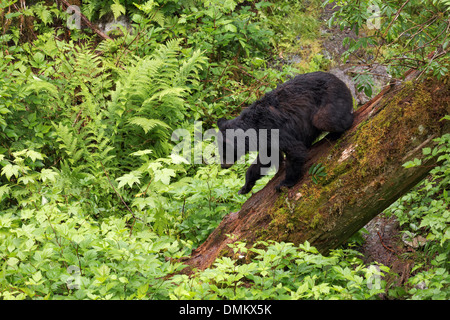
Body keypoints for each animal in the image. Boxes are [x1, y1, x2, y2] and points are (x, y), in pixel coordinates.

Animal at [216, 71, 354, 194]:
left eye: (223, 151)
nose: (222, 166)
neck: (253, 127)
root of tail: (341, 81)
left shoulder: (273, 130)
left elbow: (295, 150)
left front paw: (284, 183)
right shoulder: (266, 141)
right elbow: (265, 160)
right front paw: (245, 187)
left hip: (330, 98)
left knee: (326, 119)